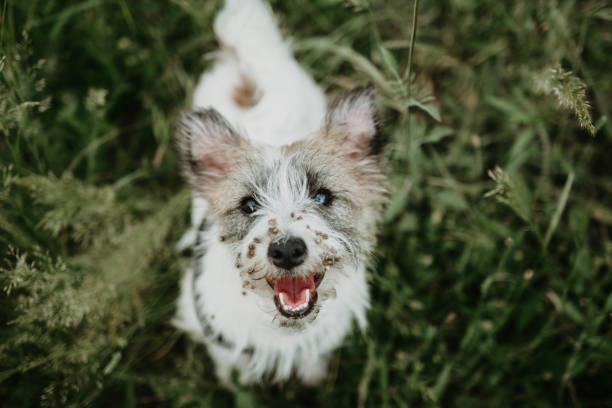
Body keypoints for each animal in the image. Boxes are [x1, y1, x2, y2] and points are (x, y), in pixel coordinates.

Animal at [171, 0, 388, 386]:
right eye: (248, 204)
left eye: (322, 196)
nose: (286, 251)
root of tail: (251, 70)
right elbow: (230, 365)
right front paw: (233, 382)